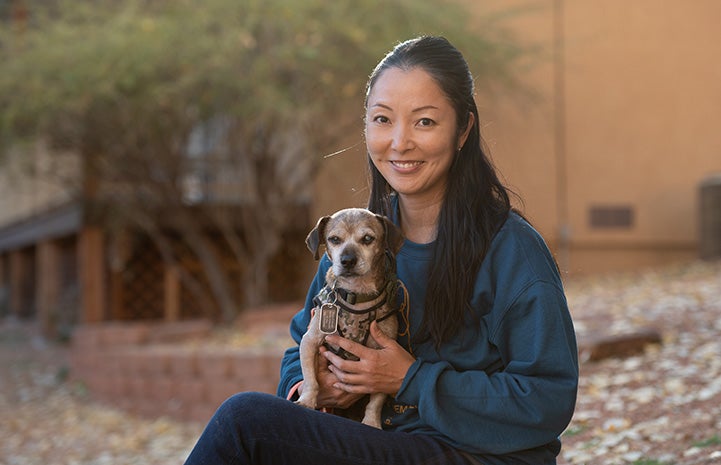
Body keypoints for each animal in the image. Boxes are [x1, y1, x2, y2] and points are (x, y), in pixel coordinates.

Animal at [294, 208, 404, 428]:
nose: (347, 260)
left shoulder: (382, 360)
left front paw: (371, 421)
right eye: (334, 239)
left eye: (368, 238)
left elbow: (376, 400)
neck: (356, 296)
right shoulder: (309, 342)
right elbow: (310, 379)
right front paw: (307, 400)